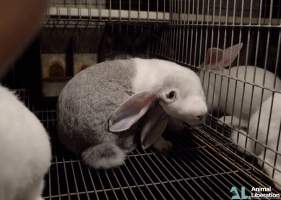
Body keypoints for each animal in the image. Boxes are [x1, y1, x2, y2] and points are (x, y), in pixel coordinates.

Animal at [57, 57, 207, 169]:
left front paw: (178, 127)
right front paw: (165, 146)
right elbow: (155, 135)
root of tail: (88, 145)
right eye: (171, 95)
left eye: (201, 89)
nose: (201, 114)